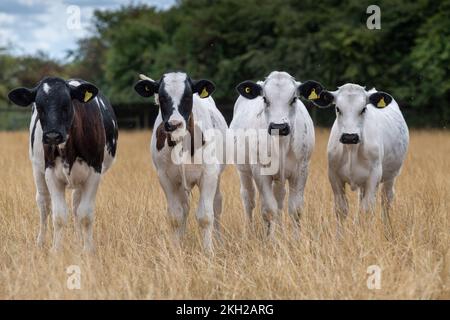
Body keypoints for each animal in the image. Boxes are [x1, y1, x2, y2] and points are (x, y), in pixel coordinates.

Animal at [8, 77, 118, 252]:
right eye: (39, 106)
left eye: (66, 104)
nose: (52, 135)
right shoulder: (50, 172)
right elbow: (59, 215)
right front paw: (56, 250)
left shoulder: (95, 172)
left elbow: (85, 214)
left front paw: (88, 250)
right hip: (37, 169)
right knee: (44, 203)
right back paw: (40, 242)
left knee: (76, 206)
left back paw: (79, 240)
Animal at [230, 72, 314, 238]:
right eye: (265, 99)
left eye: (294, 98)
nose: (279, 127)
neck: (281, 145)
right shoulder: (260, 172)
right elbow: (269, 210)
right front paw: (271, 240)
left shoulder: (301, 170)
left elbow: (295, 209)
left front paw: (296, 239)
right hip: (243, 171)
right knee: (249, 199)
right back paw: (249, 232)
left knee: (280, 198)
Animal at [300, 80, 410, 235]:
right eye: (338, 108)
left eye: (363, 109)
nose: (350, 137)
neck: (351, 150)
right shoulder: (334, 176)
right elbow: (341, 209)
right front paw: (340, 237)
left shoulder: (374, 177)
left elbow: (367, 209)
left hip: (391, 176)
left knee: (386, 201)